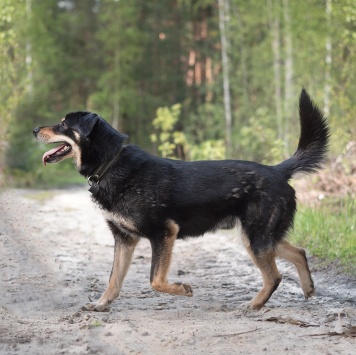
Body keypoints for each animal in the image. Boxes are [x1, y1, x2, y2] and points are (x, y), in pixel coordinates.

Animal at [32, 90, 328, 312]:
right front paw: (102, 304)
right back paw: (308, 289)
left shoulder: (163, 233)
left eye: (63, 124)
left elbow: (155, 279)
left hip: (255, 237)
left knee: (275, 275)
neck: (111, 163)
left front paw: (181, 289)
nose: (34, 129)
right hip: (261, 237)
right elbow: (114, 279)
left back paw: (254, 305)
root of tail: (278, 170)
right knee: (298, 252)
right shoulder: (124, 239)